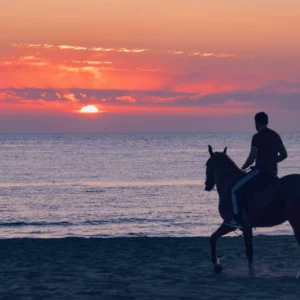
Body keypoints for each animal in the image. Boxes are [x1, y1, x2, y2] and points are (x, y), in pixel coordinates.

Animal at [205, 145, 300, 276]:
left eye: (206, 164)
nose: (207, 185)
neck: (229, 184)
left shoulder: (238, 225)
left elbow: (248, 250)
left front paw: (251, 273)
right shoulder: (236, 225)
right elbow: (213, 237)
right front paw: (217, 266)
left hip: (296, 221)